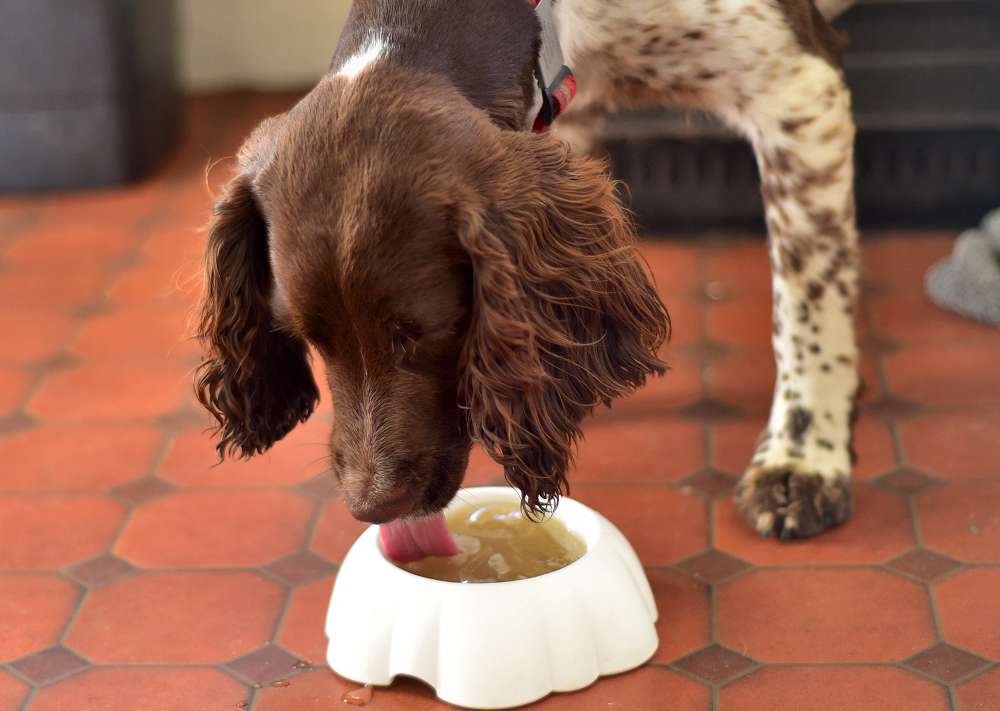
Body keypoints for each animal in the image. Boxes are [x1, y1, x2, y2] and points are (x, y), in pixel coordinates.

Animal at [195, 1, 860, 544]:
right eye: (308, 339)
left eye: (427, 334)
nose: (372, 505)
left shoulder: (797, 87)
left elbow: (809, 294)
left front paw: (803, 457)